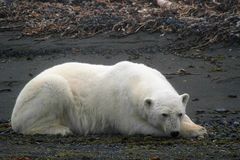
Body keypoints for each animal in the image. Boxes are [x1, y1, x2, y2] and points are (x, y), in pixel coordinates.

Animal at [10, 61, 206, 138]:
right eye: (163, 115)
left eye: (180, 114)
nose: (174, 132)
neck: (136, 79)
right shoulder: (121, 105)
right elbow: (136, 126)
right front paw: (194, 131)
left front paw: (197, 126)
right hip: (38, 95)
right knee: (54, 88)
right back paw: (60, 129)